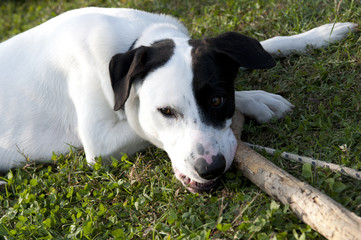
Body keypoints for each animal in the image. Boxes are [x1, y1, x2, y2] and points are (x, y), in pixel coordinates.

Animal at [0, 7, 354, 193]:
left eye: (217, 101)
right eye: (165, 111)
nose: (210, 168)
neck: (137, 41)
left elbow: (263, 45)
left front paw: (321, 34)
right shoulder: (100, 143)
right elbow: (136, 118)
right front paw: (257, 100)